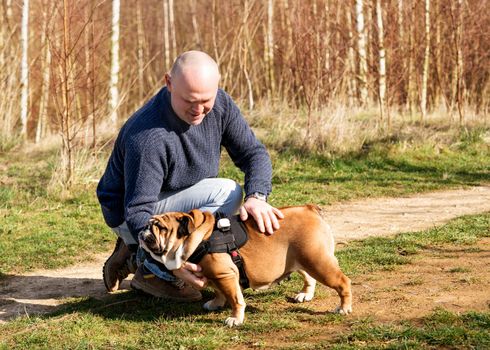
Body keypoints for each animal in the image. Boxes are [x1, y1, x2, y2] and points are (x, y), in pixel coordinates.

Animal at [139, 204, 352, 326]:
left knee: (343, 282)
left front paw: (235, 318)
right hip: (302, 259)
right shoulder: (218, 277)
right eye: (149, 224)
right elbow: (218, 291)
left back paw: (343, 308)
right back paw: (305, 294)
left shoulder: (224, 275)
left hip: (318, 261)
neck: (199, 238)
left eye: (160, 227)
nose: (143, 229)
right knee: (308, 277)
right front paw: (215, 303)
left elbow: (235, 299)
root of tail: (309, 209)